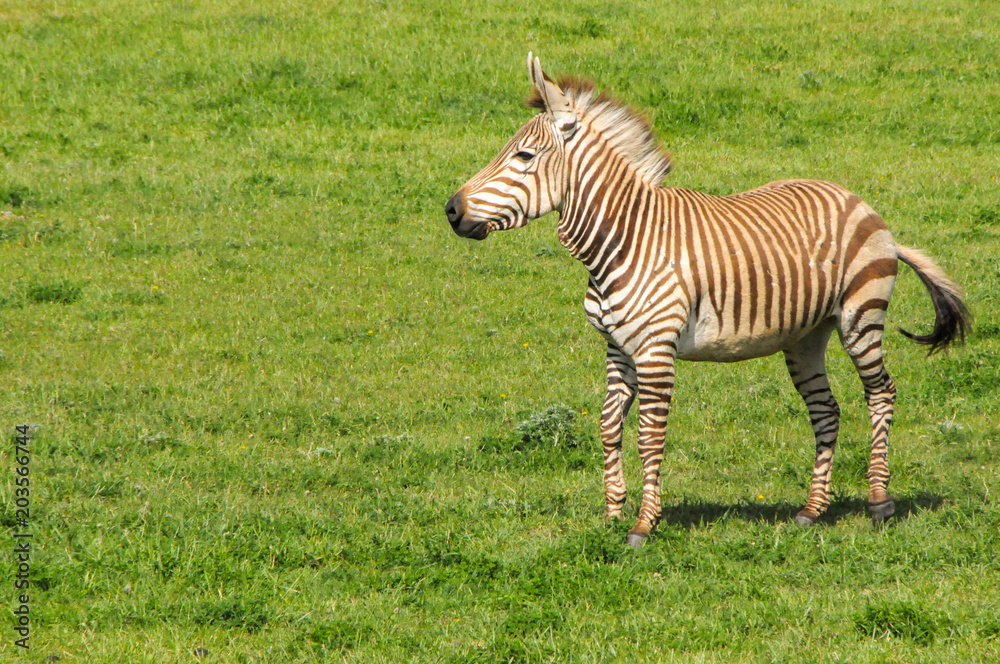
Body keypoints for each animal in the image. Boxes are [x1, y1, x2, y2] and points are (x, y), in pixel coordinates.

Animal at [445, 54, 970, 548]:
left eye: (524, 156)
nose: (450, 210)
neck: (626, 240)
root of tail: (858, 200)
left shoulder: (655, 350)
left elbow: (648, 437)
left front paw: (642, 525)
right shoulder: (618, 348)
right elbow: (609, 427)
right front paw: (611, 516)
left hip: (860, 316)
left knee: (880, 393)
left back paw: (880, 502)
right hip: (805, 335)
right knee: (826, 409)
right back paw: (812, 510)